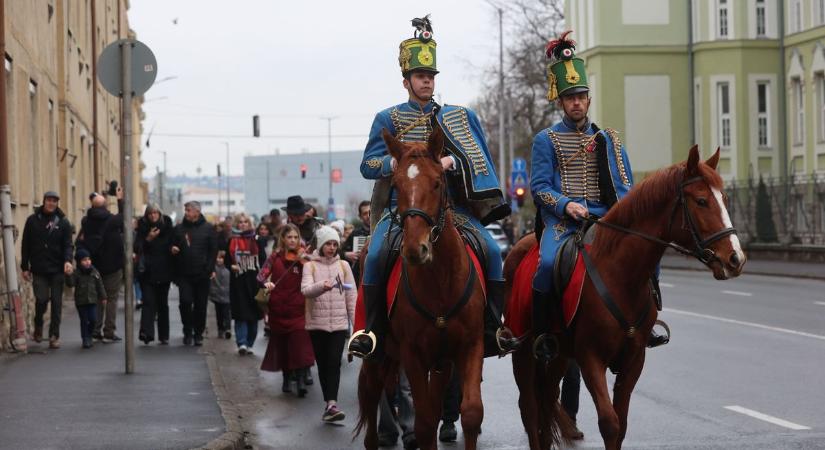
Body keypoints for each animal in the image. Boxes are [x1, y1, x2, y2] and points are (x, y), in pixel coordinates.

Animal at [356, 126, 486, 450]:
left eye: (438, 182)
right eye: (397, 185)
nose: (416, 249)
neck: (440, 283)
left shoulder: (467, 347)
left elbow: (470, 413)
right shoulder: (413, 354)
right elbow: (425, 422)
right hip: (378, 354)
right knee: (372, 396)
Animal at [502, 146, 748, 448]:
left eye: (724, 198)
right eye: (701, 201)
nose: (735, 258)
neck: (621, 274)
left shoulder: (634, 359)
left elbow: (622, 424)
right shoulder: (590, 358)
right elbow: (609, 422)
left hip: (559, 354)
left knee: (547, 400)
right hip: (523, 351)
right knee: (529, 407)